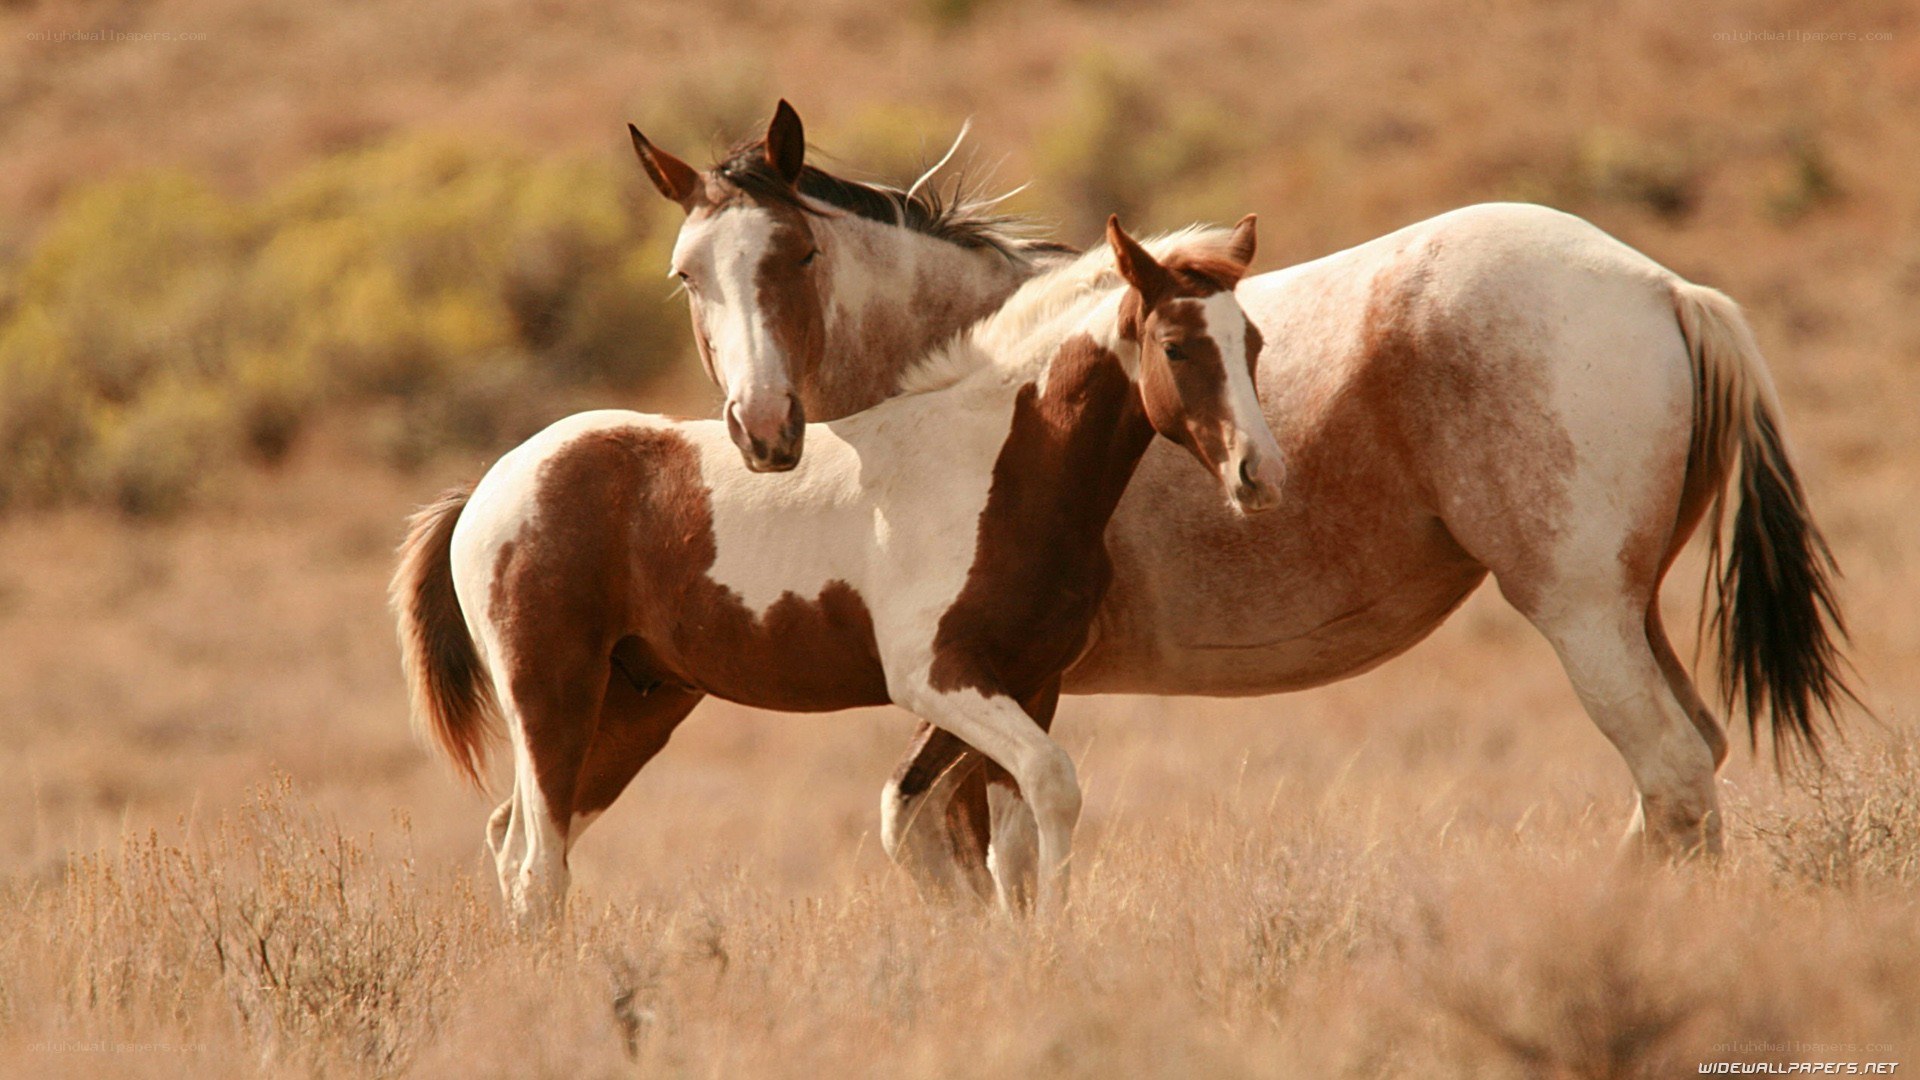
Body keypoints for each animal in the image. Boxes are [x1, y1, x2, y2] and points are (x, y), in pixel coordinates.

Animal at [391, 217, 1283, 923]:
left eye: (1254, 343)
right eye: (1175, 346)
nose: (1260, 474)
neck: (999, 468)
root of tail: (491, 485)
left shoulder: (1031, 681)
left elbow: (1014, 842)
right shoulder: (936, 678)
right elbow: (1054, 784)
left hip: (633, 708)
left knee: (516, 843)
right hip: (552, 696)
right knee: (537, 866)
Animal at [624, 102, 1855, 903]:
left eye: (794, 253)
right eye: (688, 274)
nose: (762, 429)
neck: (979, 388)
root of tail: (1664, 287)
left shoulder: (985, 686)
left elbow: (960, 847)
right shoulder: (998, 693)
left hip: (1583, 614)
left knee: (1673, 779)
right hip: (1629, 611)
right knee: (1687, 779)